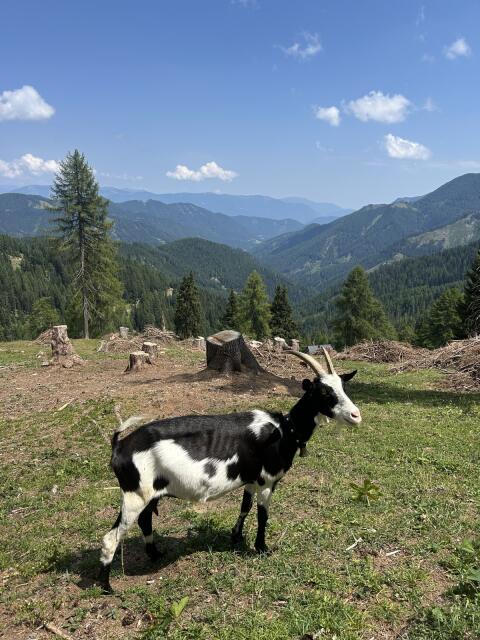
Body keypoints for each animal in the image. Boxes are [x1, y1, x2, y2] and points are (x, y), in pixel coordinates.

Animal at [98, 349, 361, 593]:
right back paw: (106, 586)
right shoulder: (267, 481)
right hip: (135, 494)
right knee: (111, 537)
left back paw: (155, 554)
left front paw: (236, 536)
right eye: (324, 392)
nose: (355, 415)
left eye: (343, 387)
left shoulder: (251, 479)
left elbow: (244, 507)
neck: (285, 430)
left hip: (148, 494)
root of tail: (119, 446)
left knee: (144, 520)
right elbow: (262, 515)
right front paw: (261, 548)